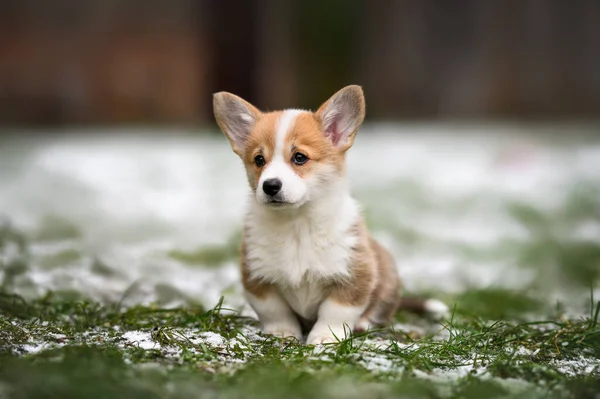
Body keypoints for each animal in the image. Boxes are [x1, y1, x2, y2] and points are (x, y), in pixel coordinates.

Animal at [213, 85, 448, 344]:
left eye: (299, 157)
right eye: (259, 160)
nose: (270, 186)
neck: (297, 223)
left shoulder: (352, 276)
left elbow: (335, 312)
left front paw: (325, 338)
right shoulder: (258, 278)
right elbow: (275, 310)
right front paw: (281, 333)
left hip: (388, 276)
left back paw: (363, 325)